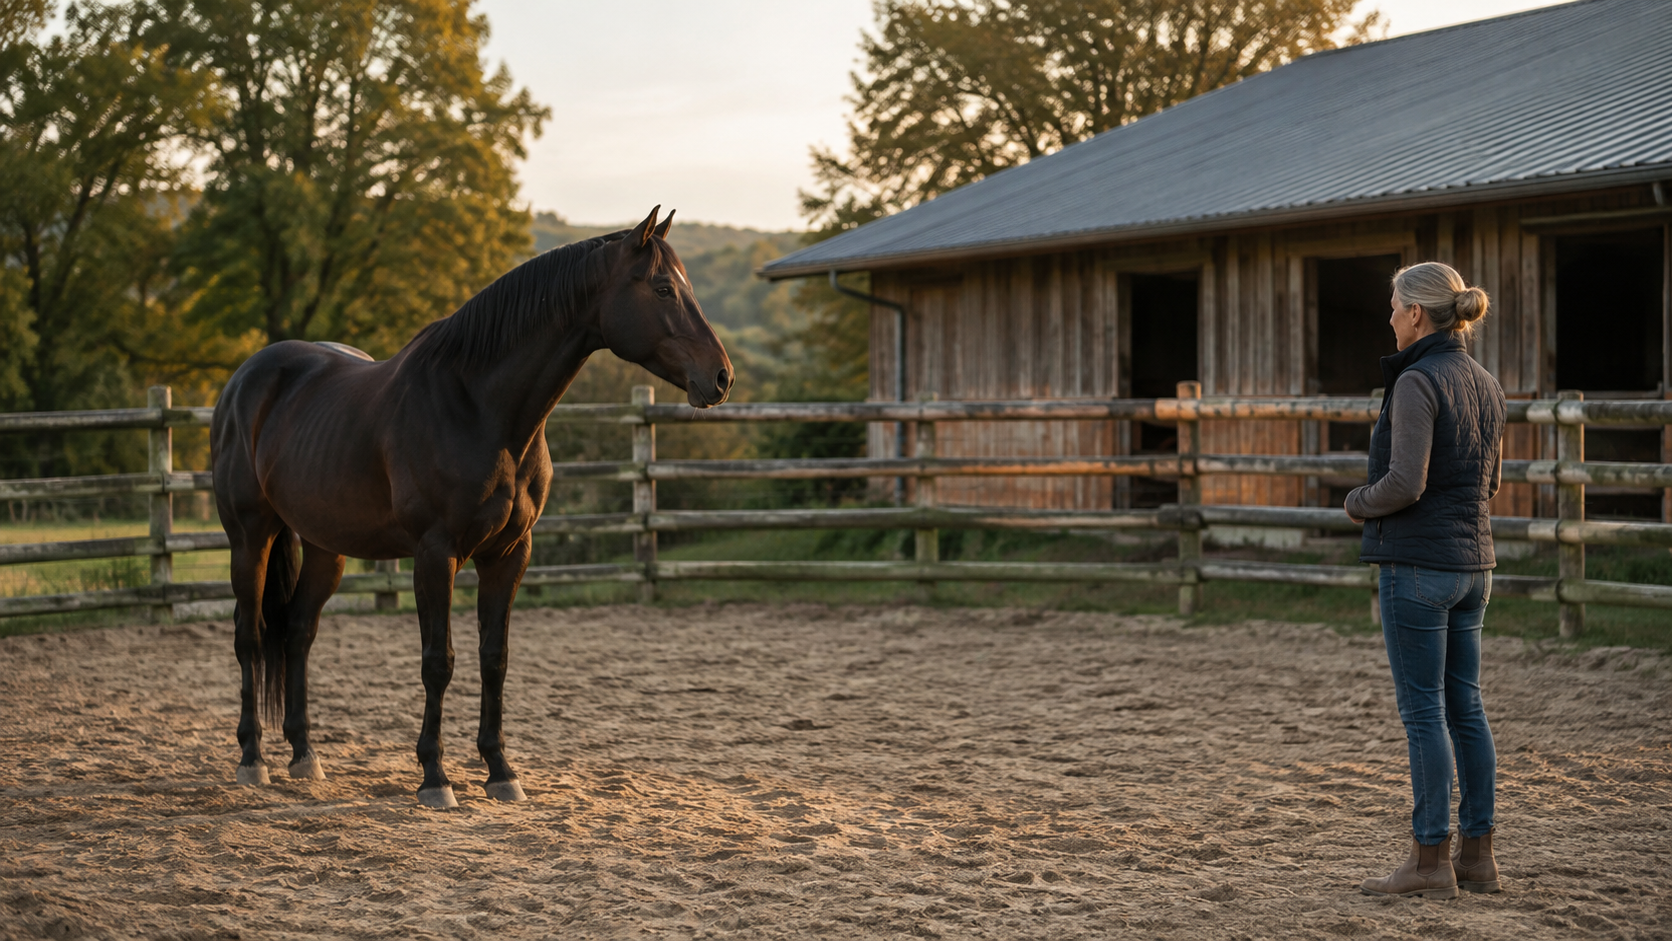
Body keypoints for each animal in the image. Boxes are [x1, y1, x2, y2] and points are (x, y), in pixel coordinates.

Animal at [210, 207, 731, 809]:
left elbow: (494, 658)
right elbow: (439, 662)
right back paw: (253, 759)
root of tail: (245, 378)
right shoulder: (435, 555)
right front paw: (435, 777)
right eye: (664, 288)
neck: (479, 407)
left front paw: (501, 771)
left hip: (325, 547)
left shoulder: (508, 554)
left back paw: (303, 755)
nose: (721, 377)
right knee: (249, 636)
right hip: (250, 537)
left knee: (297, 631)